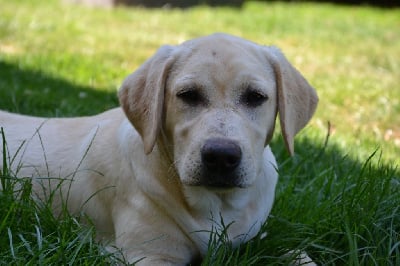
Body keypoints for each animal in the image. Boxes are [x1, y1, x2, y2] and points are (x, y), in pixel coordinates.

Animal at [0, 33, 318, 264]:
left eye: (255, 97)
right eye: (188, 95)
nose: (220, 156)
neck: (217, 204)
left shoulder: (255, 240)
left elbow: (297, 252)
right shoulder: (149, 253)